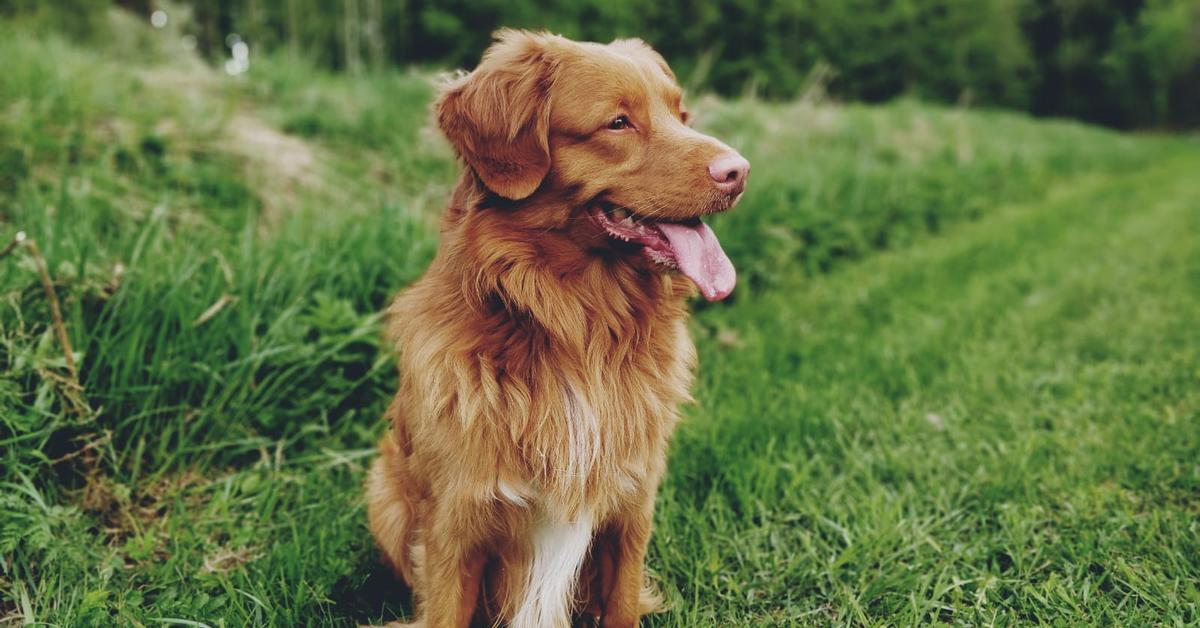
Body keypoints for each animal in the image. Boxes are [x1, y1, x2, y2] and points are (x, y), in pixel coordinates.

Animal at [364, 29, 748, 628]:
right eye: (618, 123)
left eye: (680, 114)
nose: (740, 171)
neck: (578, 330)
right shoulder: (456, 526)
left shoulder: (629, 512)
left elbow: (621, 607)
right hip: (383, 491)